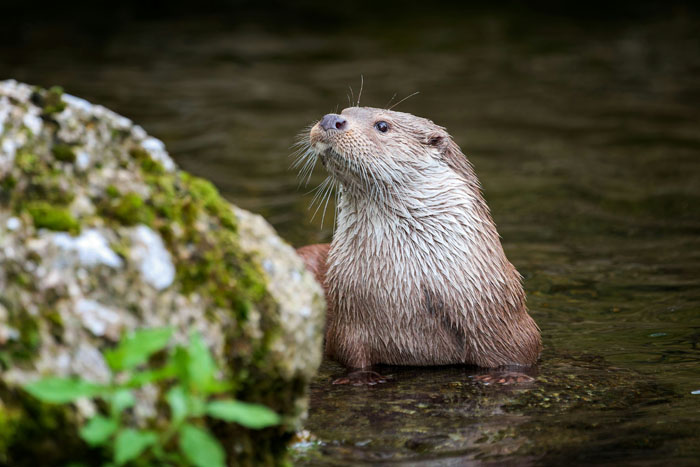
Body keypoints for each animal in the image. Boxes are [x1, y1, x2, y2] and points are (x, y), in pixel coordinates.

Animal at [295, 106, 541, 383]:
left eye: (382, 125)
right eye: (344, 110)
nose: (330, 119)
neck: (406, 289)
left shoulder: (507, 327)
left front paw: (507, 378)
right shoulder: (347, 328)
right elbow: (352, 358)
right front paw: (359, 378)